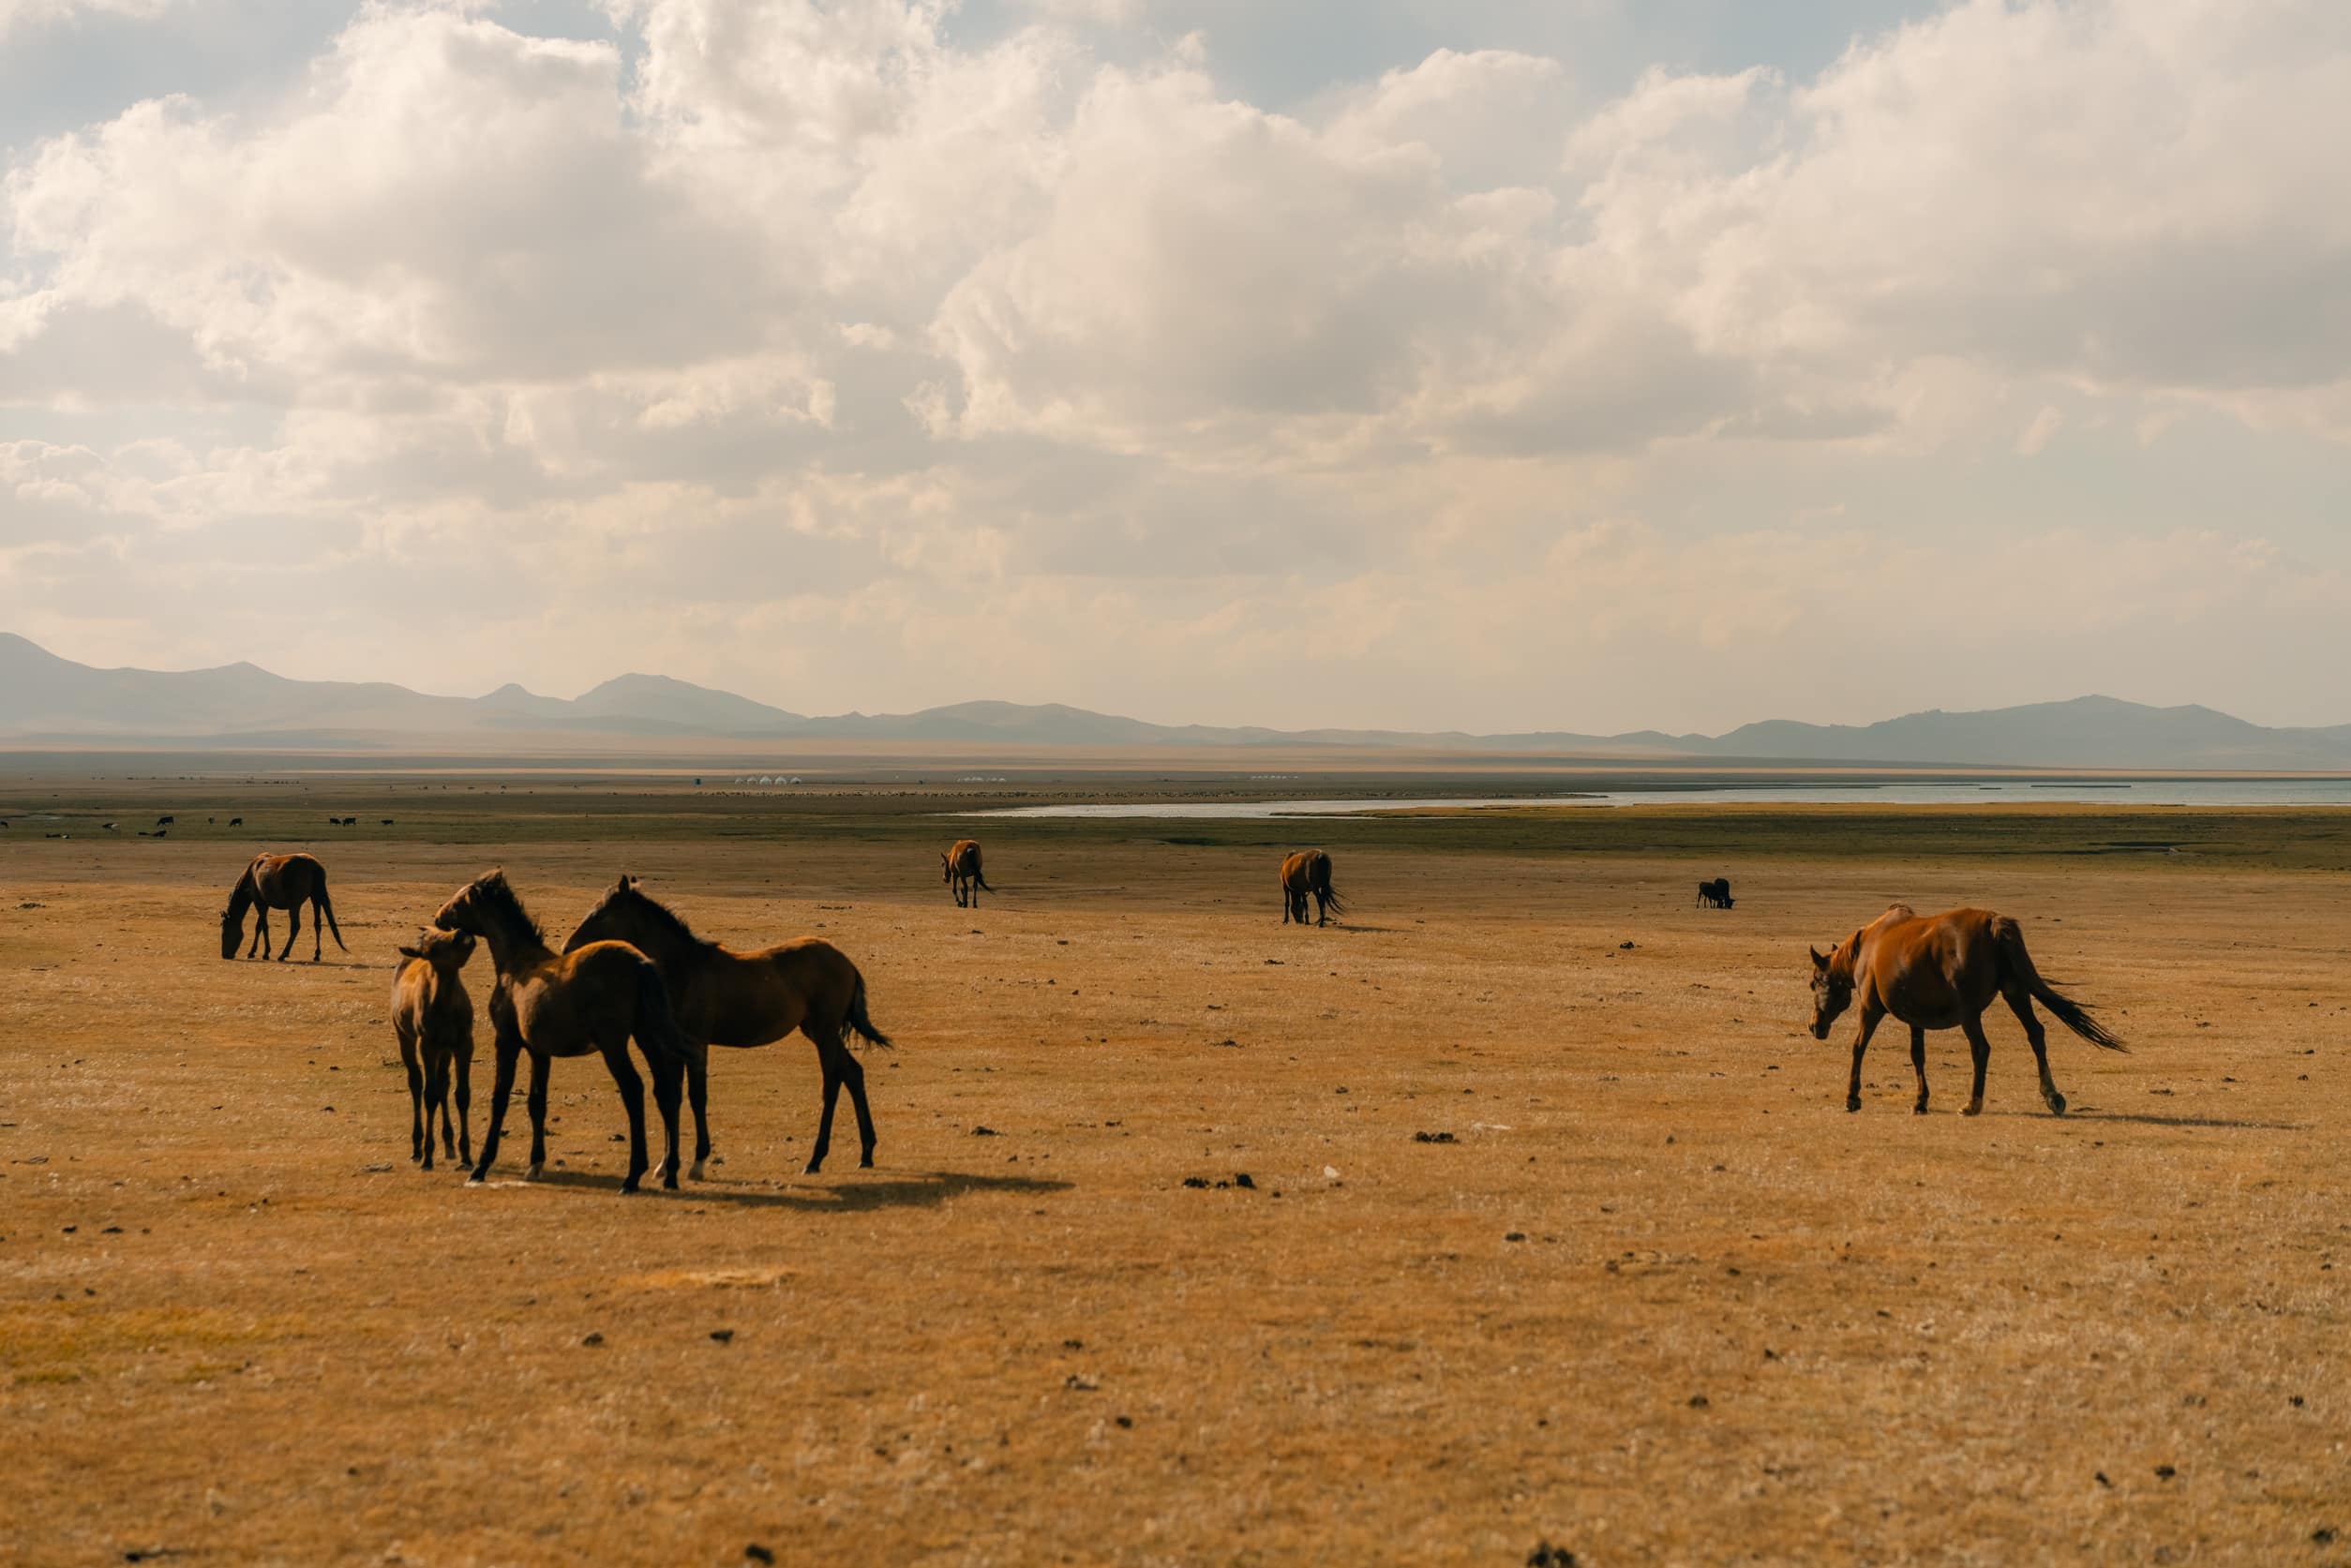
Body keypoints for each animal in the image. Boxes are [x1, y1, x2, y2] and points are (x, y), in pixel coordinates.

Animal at [220, 852, 346, 962]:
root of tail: (314, 866)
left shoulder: (259, 903)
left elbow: (264, 926)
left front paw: (265, 953)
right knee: (317, 924)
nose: (225, 955)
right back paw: (316, 955)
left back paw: (283, 954)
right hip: (315, 899)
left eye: (224, 931)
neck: (252, 873)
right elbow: (259, 927)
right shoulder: (265, 904)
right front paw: (252, 952)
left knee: (295, 927)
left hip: (295, 905)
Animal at [392, 927, 477, 1171]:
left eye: (445, 931)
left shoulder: (464, 1043)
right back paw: (417, 1148)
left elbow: (462, 1094)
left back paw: (448, 1144)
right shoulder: (427, 1044)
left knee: (443, 1083)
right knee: (416, 1082)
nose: (460, 933)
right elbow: (429, 1095)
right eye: (432, 948)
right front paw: (428, 1155)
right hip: (406, 1038)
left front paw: (466, 1155)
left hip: (445, 1049)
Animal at [431, 870, 690, 1193]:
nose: (439, 916)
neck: (515, 964)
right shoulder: (539, 1052)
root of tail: (639, 963)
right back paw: (670, 1174)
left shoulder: (507, 1042)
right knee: (665, 1089)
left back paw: (633, 1176)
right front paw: (535, 1165)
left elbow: (499, 1098)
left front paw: (480, 1167)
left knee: (633, 1088)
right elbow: (536, 1103)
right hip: (646, 1037)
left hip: (614, 1044)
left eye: (460, 900)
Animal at [564, 875, 893, 1178]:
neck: (683, 971)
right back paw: (866, 1153)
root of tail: (845, 962)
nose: (569, 948)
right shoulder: (673, 1048)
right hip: (817, 1031)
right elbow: (672, 1096)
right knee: (853, 1073)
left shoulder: (697, 1042)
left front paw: (697, 1162)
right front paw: (665, 1164)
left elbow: (697, 1097)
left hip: (824, 1032)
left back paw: (815, 1159)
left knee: (832, 1083)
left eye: (600, 914)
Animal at [1808, 904, 2125, 1117]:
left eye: (1814, 983)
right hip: (2015, 992)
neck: (1866, 948)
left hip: (1969, 1012)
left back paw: (1973, 1103)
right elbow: (1917, 1055)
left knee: (1981, 1048)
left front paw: (1852, 1098)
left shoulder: (1870, 1008)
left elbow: (1858, 1046)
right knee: (2036, 1034)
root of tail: (1992, 923)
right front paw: (1921, 1101)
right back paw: (2052, 1096)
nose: (1814, 1026)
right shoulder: (1914, 1017)